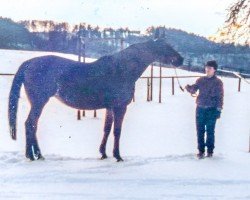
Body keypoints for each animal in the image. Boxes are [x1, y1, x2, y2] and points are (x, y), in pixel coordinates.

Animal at [8, 38, 184, 161]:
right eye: (166, 47)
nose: (180, 59)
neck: (122, 69)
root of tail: (29, 63)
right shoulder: (120, 107)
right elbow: (117, 131)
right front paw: (118, 156)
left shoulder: (110, 107)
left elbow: (106, 129)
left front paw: (103, 154)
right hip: (39, 102)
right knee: (30, 124)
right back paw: (31, 156)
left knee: (33, 125)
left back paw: (38, 155)